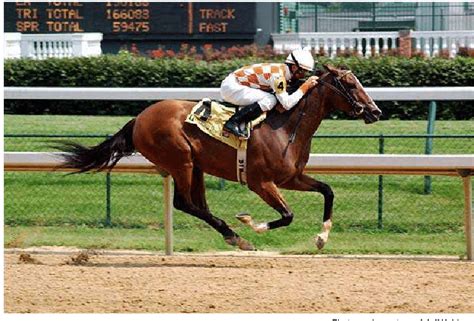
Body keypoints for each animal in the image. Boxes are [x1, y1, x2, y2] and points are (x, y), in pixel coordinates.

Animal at [57, 64, 382, 250]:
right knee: (185, 203)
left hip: (195, 166)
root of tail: (139, 118)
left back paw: (232, 235)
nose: (376, 111)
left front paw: (321, 238)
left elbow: (327, 191)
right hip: (181, 161)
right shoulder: (261, 182)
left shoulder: (291, 177)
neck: (287, 126)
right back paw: (236, 236)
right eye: (350, 84)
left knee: (196, 204)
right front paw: (251, 222)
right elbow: (287, 215)